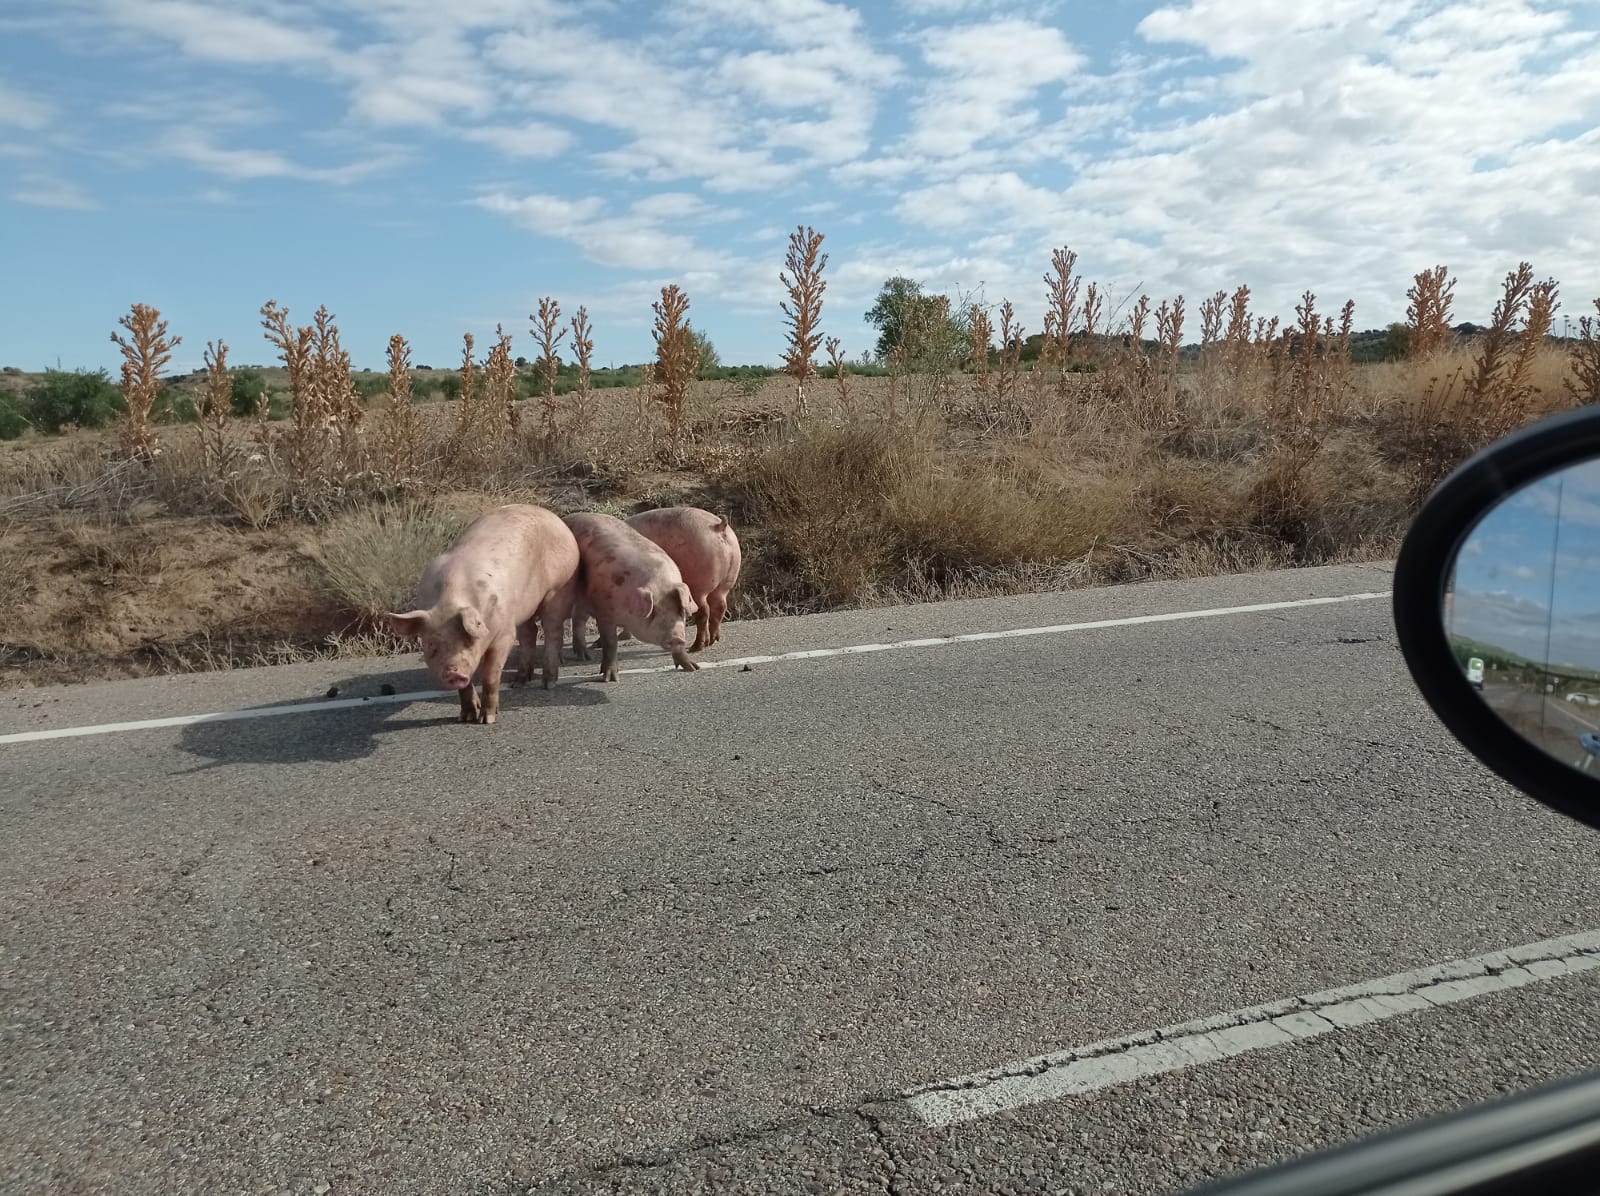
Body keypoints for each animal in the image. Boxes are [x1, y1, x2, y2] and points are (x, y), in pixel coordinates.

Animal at [380, 502, 582, 722]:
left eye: (469, 640)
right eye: (432, 645)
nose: (453, 673)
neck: (451, 599)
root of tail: (555, 519)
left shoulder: (504, 632)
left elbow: (490, 675)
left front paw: (487, 719)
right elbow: (466, 685)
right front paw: (466, 718)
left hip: (559, 588)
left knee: (553, 631)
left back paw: (548, 683)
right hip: (522, 608)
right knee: (529, 633)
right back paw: (518, 683)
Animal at [566, 511, 697, 681]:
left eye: (681, 611)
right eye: (653, 612)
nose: (677, 638)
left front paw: (693, 668)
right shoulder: (604, 611)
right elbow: (611, 643)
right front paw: (610, 679)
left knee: (578, 617)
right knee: (577, 620)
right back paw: (583, 657)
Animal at [627, 505, 745, 655]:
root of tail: (719, 526)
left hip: (698, 585)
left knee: (703, 611)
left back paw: (695, 648)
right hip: (727, 581)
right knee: (719, 606)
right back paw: (712, 641)